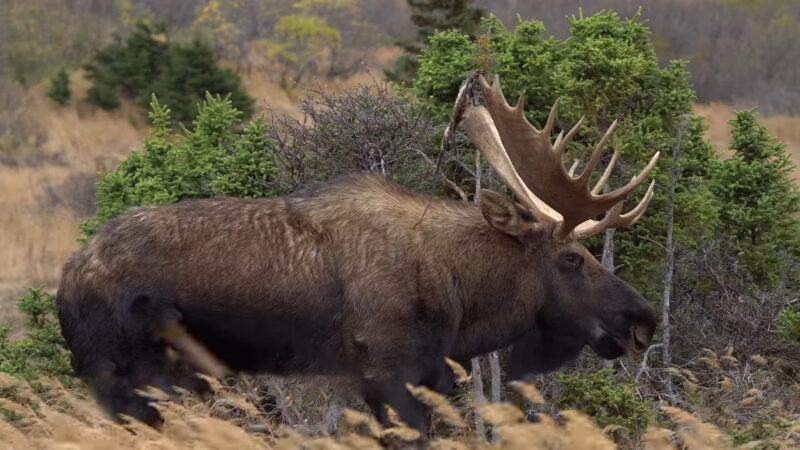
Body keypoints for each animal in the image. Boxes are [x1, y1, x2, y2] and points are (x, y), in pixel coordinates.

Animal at [54, 74, 656, 432]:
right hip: (135, 378)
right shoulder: (391, 375)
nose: (642, 321)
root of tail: (65, 281)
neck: (462, 298)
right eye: (571, 259)